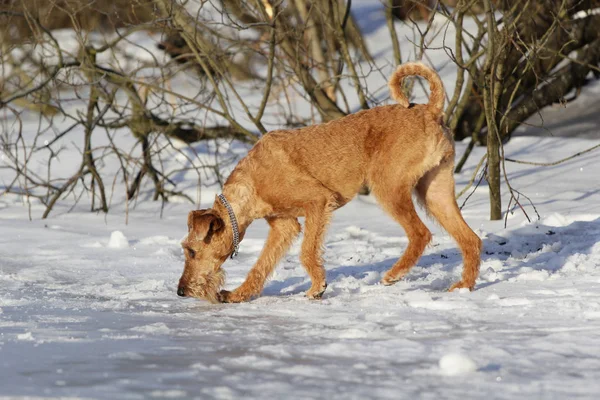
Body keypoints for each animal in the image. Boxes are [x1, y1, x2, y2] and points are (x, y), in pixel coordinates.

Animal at [177, 62, 482, 304]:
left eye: (191, 250)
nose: (181, 291)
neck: (251, 184)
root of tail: (430, 110)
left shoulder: (317, 202)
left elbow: (306, 252)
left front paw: (317, 288)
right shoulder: (284, 226)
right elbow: (262, 264)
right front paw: (237, 294)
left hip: (389, 188)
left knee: (420, 234)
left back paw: (393, 275)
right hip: (435, 191)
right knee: (470, 239)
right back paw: (463, 287)